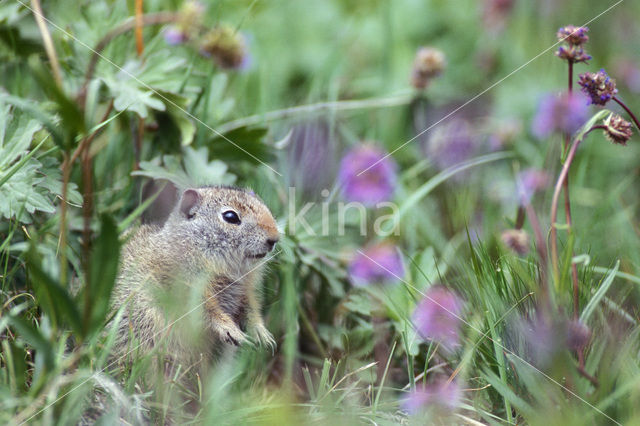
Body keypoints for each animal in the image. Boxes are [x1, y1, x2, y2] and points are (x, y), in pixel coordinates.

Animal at [110, 185, 280, 368]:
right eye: (230, 217)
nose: (274, 238)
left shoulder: (245, 291)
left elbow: (250, 309)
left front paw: (263, 335)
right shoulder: (184, 286)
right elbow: (207, 310)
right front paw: (231, 331)